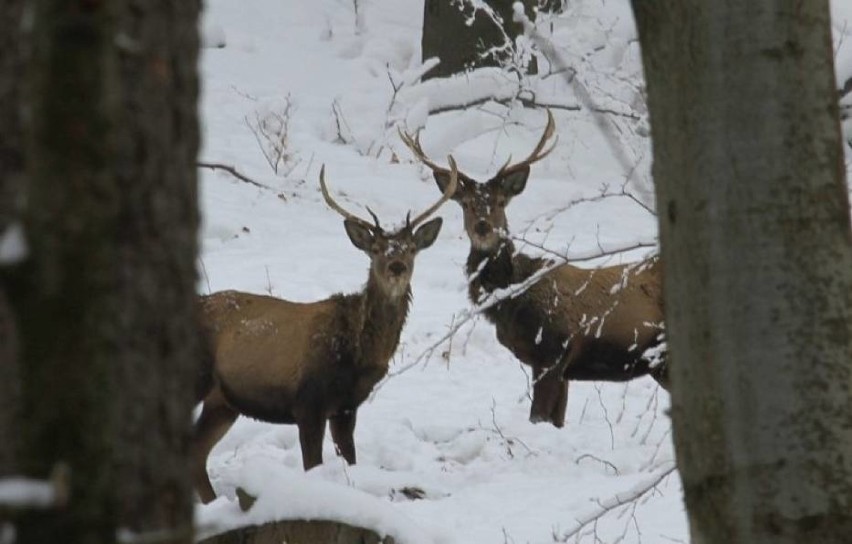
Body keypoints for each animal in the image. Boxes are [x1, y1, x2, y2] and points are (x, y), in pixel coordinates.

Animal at [193, 164, 460, 504]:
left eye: (412, 249)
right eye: (376, 250)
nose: (397, 266)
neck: (357, 355)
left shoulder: (346, 406)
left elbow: (351, 463)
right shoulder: (308, 402)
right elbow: (313, 466)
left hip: (223, 401)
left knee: (195, 453)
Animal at [402, 112, 668, 428]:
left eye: (500, 202)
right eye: (466, 204)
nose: (483, 227)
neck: (512, 299)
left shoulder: (552, 352)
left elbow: (537, 417)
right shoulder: (558, 368)